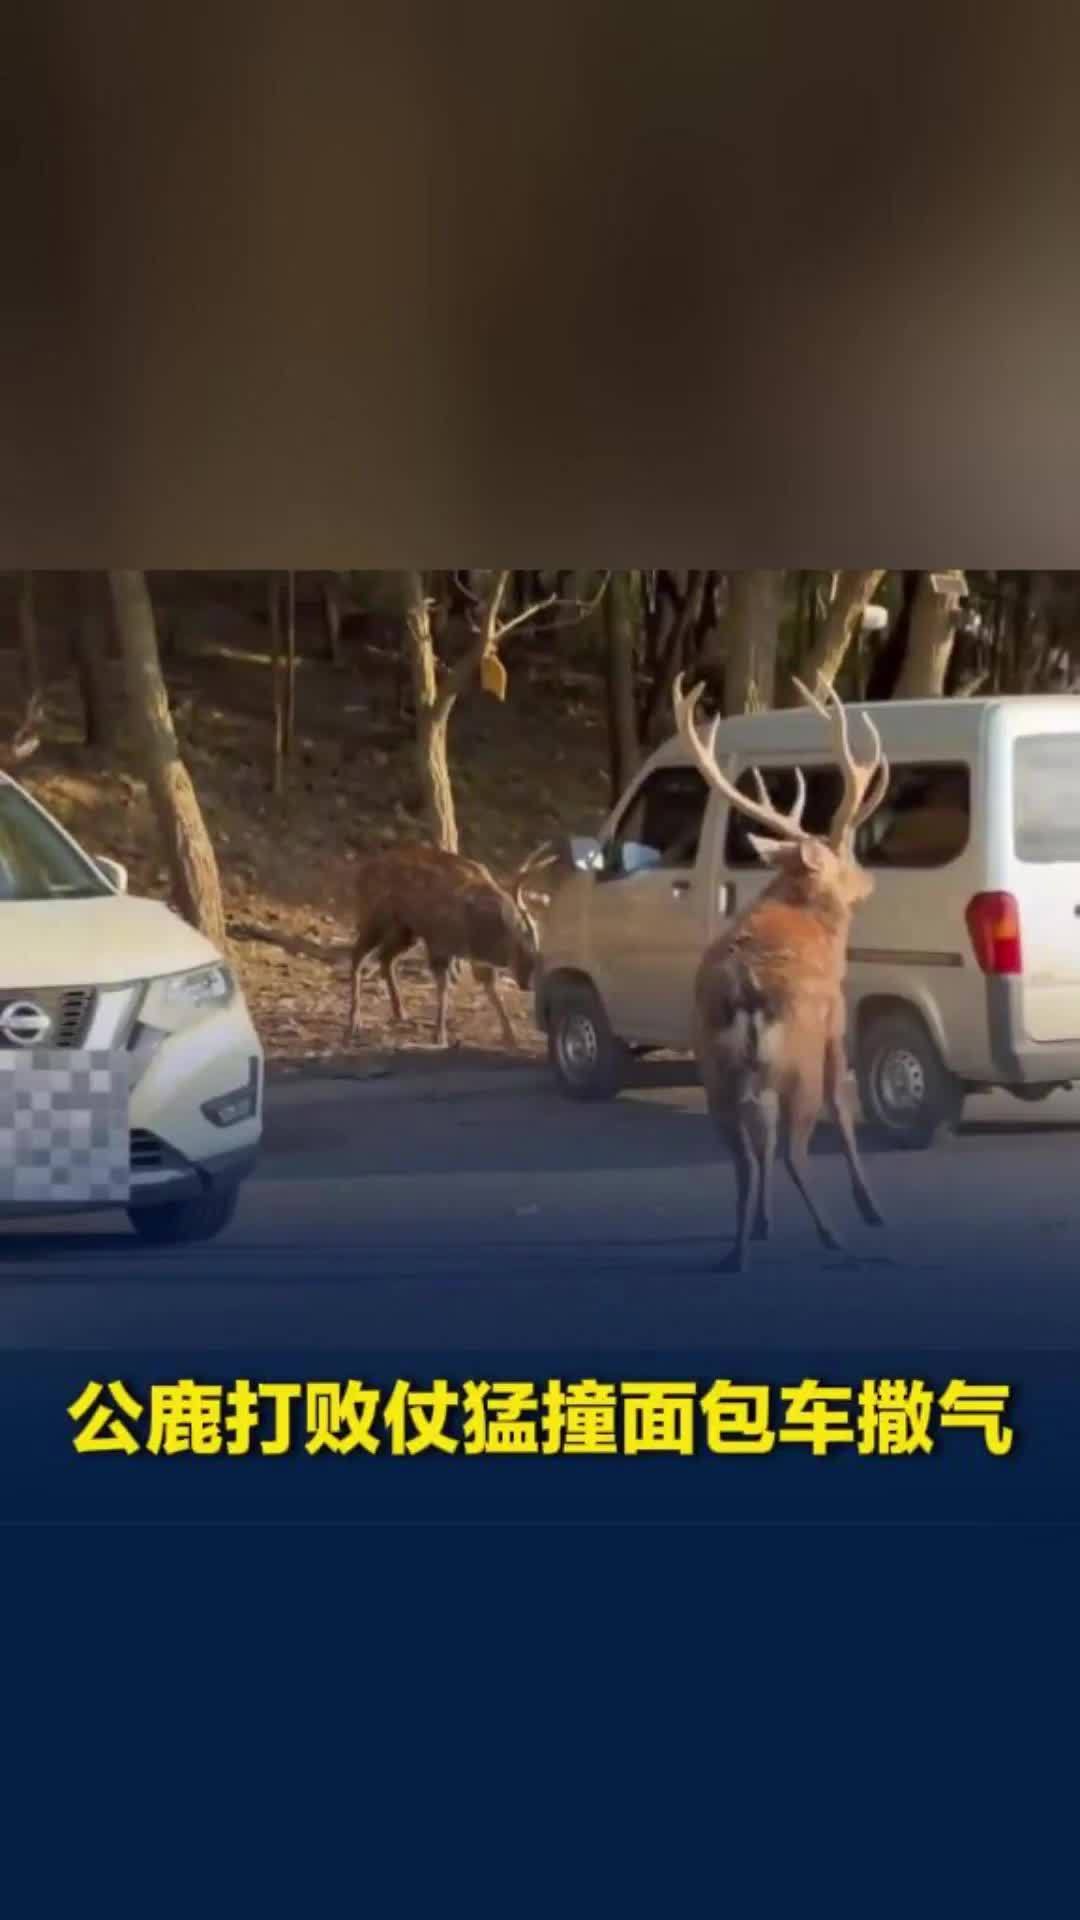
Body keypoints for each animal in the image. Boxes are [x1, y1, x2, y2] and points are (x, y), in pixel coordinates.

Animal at [344, 841, 558, 1050]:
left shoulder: (472, 957)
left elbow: (490, 989)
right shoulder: (439, 944)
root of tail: (360, 875)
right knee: (358, 955)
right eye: (521, 944)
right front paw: (439, 1036)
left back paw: (401, 1012)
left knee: (385, 957)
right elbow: (444, 987)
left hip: (406, 930)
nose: (527, 983)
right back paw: (355, 1021)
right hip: (376, 918)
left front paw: (511, 1037)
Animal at [672, 669, 891, 1273]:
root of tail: (745, 991)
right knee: (795, 1147)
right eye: (843, 855)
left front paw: (766, 1224)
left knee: (747, 1154)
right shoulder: (837, 1020)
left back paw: (738, 1249)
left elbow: (761, 1144)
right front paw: (871, 1206)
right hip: (797, 1062)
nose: (869, 881)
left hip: (716, 1070)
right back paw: (836, 1235)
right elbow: (845, 1109)